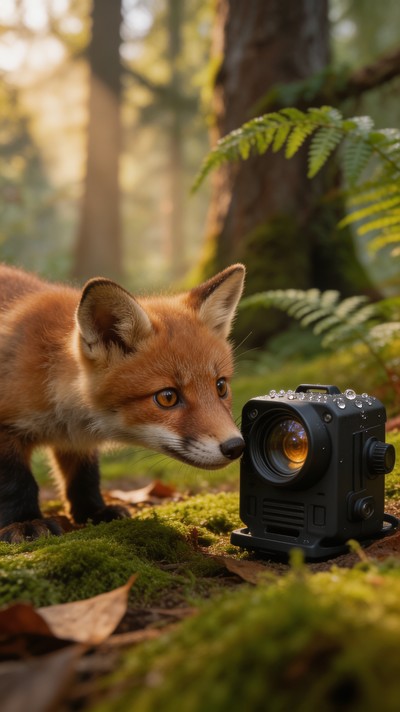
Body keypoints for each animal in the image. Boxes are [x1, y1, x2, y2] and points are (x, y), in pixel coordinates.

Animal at [0, 262, 245, 543]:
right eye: (168, 397)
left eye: (221, 386)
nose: (236, 446)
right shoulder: (7, 425)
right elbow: (16, 481)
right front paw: (24, 522)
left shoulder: (76, 440)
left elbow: (84, 476)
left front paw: (94, 512)